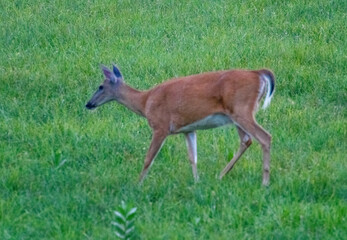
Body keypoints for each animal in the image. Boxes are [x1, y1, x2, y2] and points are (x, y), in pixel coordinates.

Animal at [85, 63, 276, 186]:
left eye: (100, 86)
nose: (88, 104)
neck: (145, 102)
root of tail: (258, 73)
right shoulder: (188, 129)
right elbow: (193, 157)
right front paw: (196, 181)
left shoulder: (160, 126)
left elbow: (148, 159)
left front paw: (137, 184)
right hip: (235, 115)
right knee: (246, 140)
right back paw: (221, 175)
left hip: (242, 110)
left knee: (264, 137)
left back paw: (265, 182)